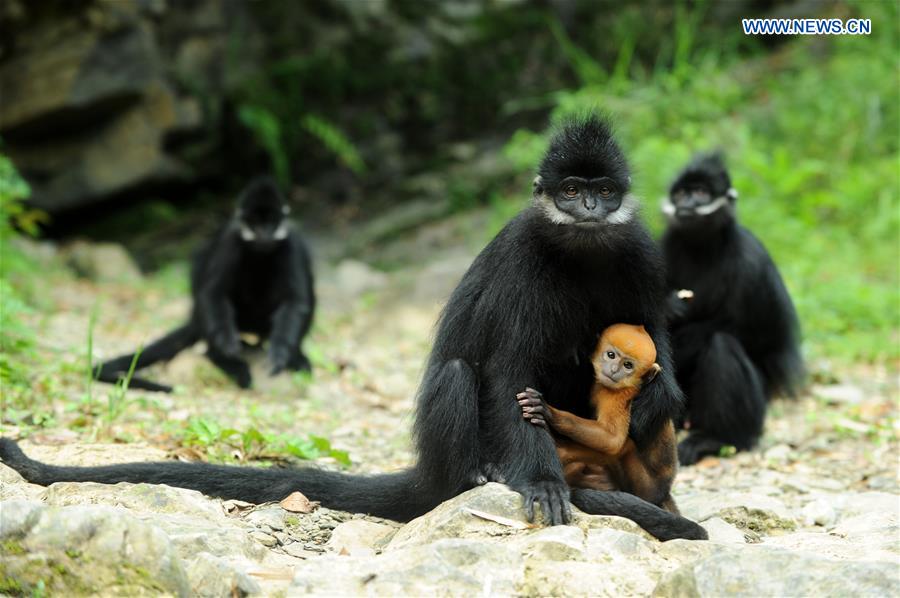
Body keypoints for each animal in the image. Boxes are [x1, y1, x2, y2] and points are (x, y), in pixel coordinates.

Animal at [95, 178, 316, 394]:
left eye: (271, 223)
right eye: (254, 223)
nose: (265, 234)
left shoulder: (292, 242)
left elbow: (297, 301)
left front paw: (281, 354)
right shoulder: (230, 239)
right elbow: (212, 293)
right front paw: (226, 351)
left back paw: (293, 355)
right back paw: (225, 360)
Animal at [520, 324, 684, 516]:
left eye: (628, 365)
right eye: (611, 355)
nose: (613, 370)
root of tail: (664, 491)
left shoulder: (616, 396)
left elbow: (612, 439)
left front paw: (549, 413)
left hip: (645, 487)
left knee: (624, 447)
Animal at [656, 152, 804, 466]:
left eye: (700, 193)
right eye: (681, 194)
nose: (686, 204)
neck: (701, 248)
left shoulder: (750, 260)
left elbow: (761, 339)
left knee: (722, 345)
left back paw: (715, 439)